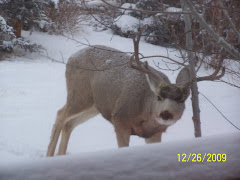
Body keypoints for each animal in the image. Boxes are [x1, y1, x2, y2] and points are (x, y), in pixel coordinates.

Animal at [46, 44, 190, 156]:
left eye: (182, 100)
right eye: (159, 97)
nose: (166, 114)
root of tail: (71, 57)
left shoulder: (155, 133)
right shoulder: (120, 120)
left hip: (94, 105)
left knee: (69, 124)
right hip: (79, 94)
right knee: (60, 114)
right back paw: (50, 155)